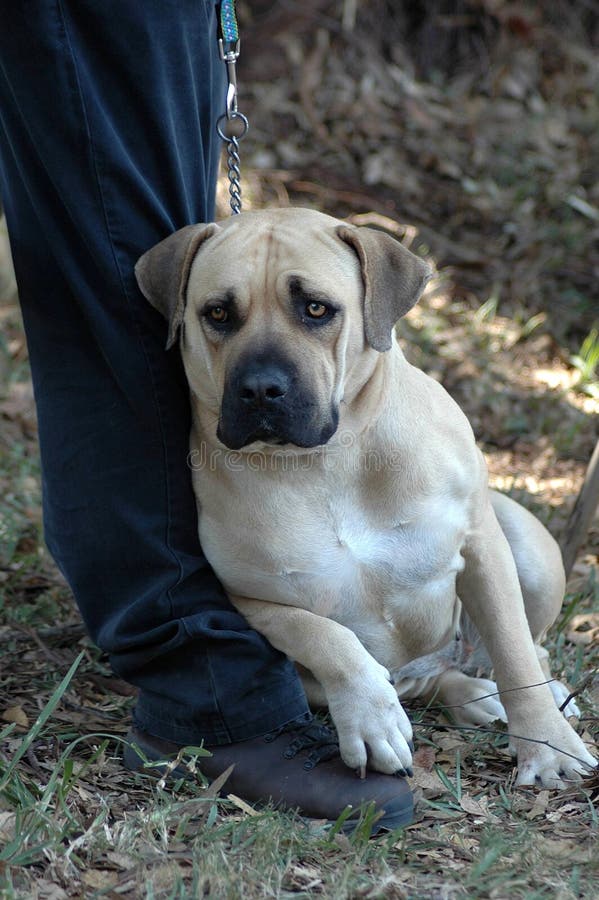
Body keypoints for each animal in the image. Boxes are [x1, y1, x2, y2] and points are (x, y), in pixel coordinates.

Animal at [136, 209, 596, 788]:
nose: (261, 388)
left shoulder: (481, 544)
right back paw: (467, 695)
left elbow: (514, 652)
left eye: (316, 308)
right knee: (430, 681)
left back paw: (539, 692)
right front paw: (371, 717)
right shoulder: (250, 600)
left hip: (528, 550)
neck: (328, 460)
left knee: (523, 649)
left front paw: (548, 745)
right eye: (217, 313)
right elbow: (325, 634)